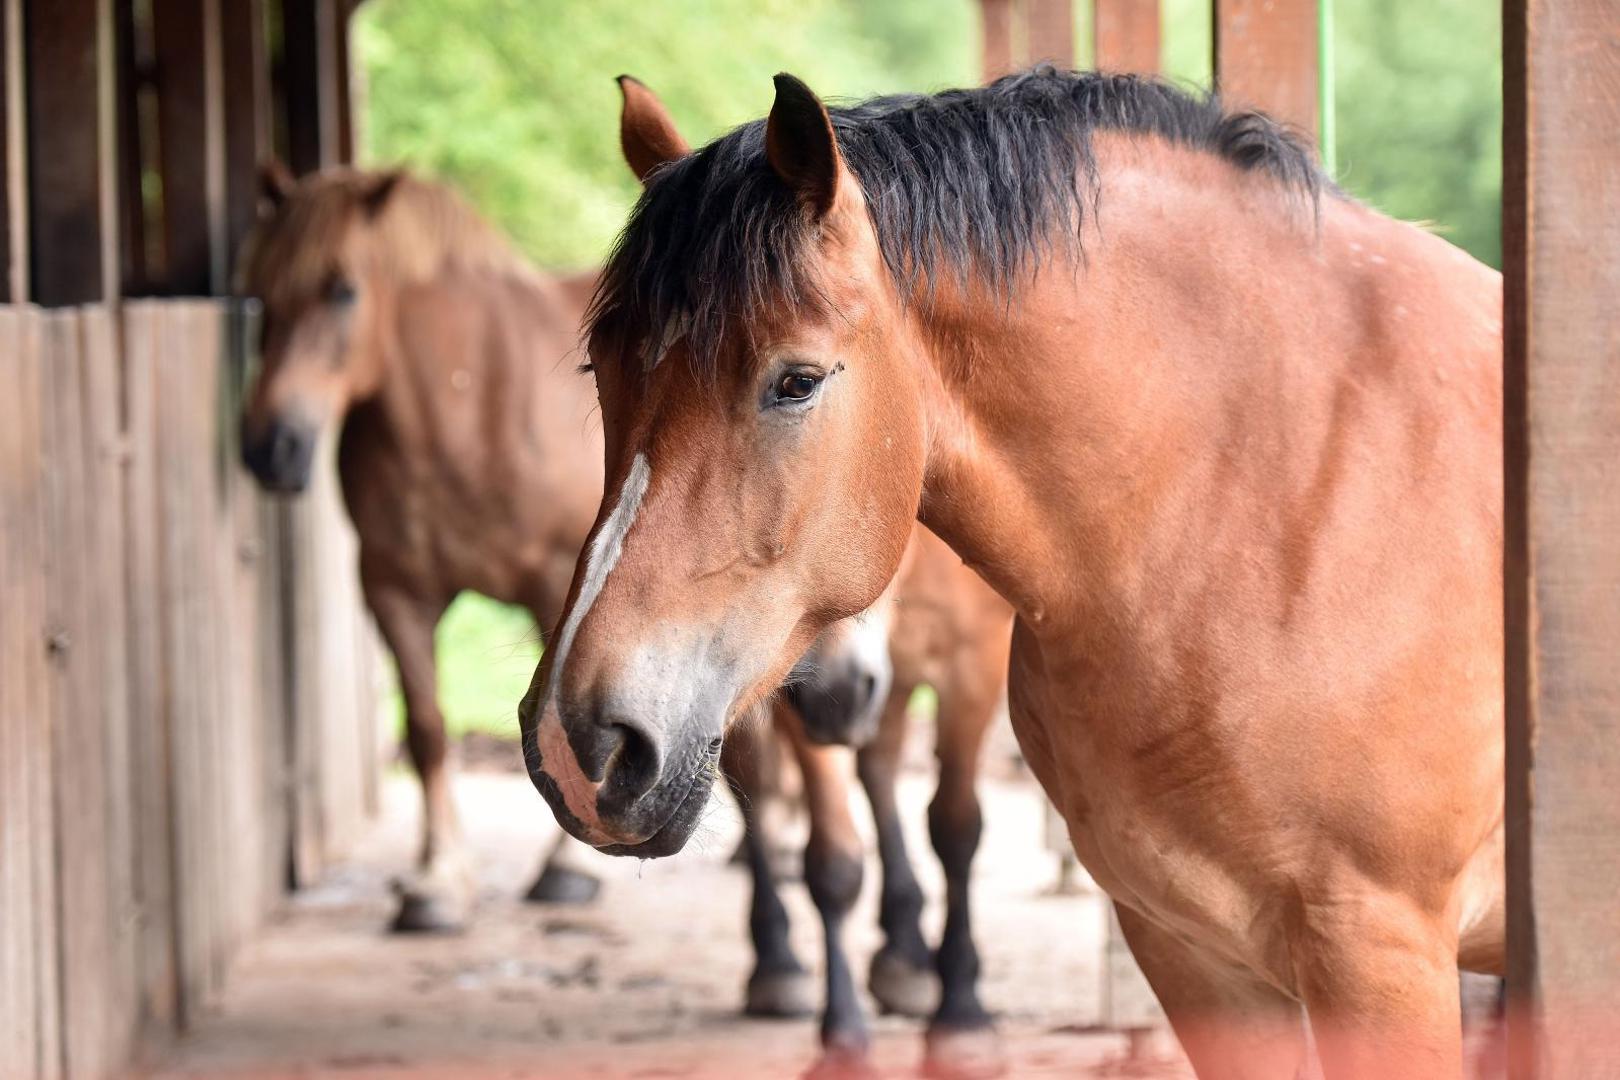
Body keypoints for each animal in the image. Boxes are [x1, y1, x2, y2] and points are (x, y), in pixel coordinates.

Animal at [521, 69, 1503, 1080]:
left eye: (796, 382)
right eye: (601, 371)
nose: (579, 739)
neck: (1272, 496)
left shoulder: (1376, 955)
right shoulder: (1194, 952)